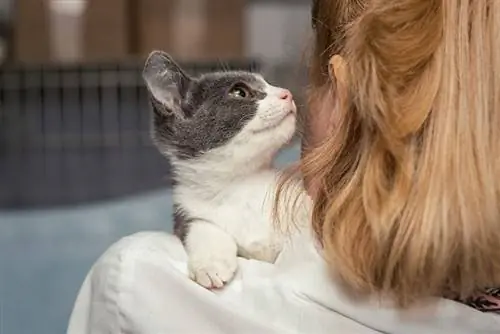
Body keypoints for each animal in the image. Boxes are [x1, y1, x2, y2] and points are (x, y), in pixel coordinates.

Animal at [143, 51, 310, 288]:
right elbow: (199, 227)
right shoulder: (187, 210)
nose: (286, 94)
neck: (242, 184)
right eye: (240, 92)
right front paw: (210, 264)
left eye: (268, 84)